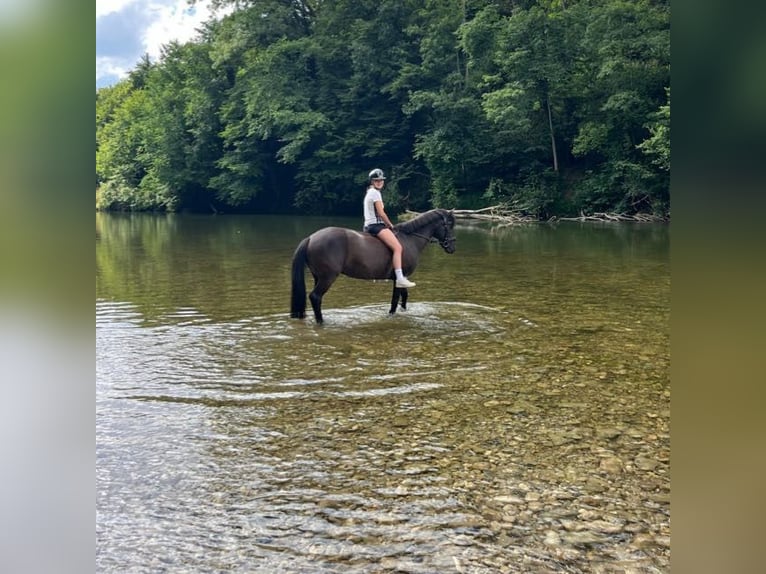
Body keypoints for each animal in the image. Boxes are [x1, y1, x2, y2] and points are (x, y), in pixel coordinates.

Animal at [290, 208, 456, 323]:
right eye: (449, 225)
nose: (452, 247)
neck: (409, 239)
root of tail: (311, 238)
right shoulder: (399, 278)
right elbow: (395, 300)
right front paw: (392, 315)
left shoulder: (401, 278)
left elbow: (404, 297)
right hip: (327, 277)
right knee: (315, 297)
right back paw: (321, 322)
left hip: (318, 277)